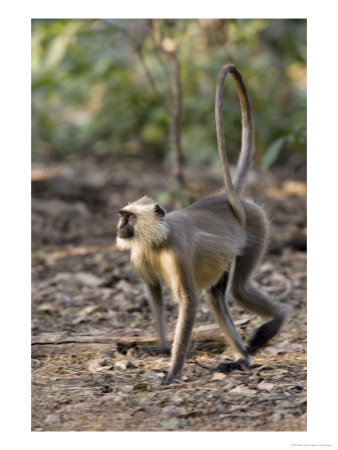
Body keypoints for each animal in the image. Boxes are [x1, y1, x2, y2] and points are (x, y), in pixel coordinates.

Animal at [115, 64, 286, 386]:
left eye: (128, 218)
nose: (119, 227)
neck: (158, 239)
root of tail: (232, 200)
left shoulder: (177, 250)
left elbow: (189, 301)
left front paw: (172, 371)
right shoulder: (139, 253)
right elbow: (154, 292)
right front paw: (161, 347)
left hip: (256, 229)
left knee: (238, 290)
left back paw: (278, 319)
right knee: (217, 296)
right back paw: (242, 358)